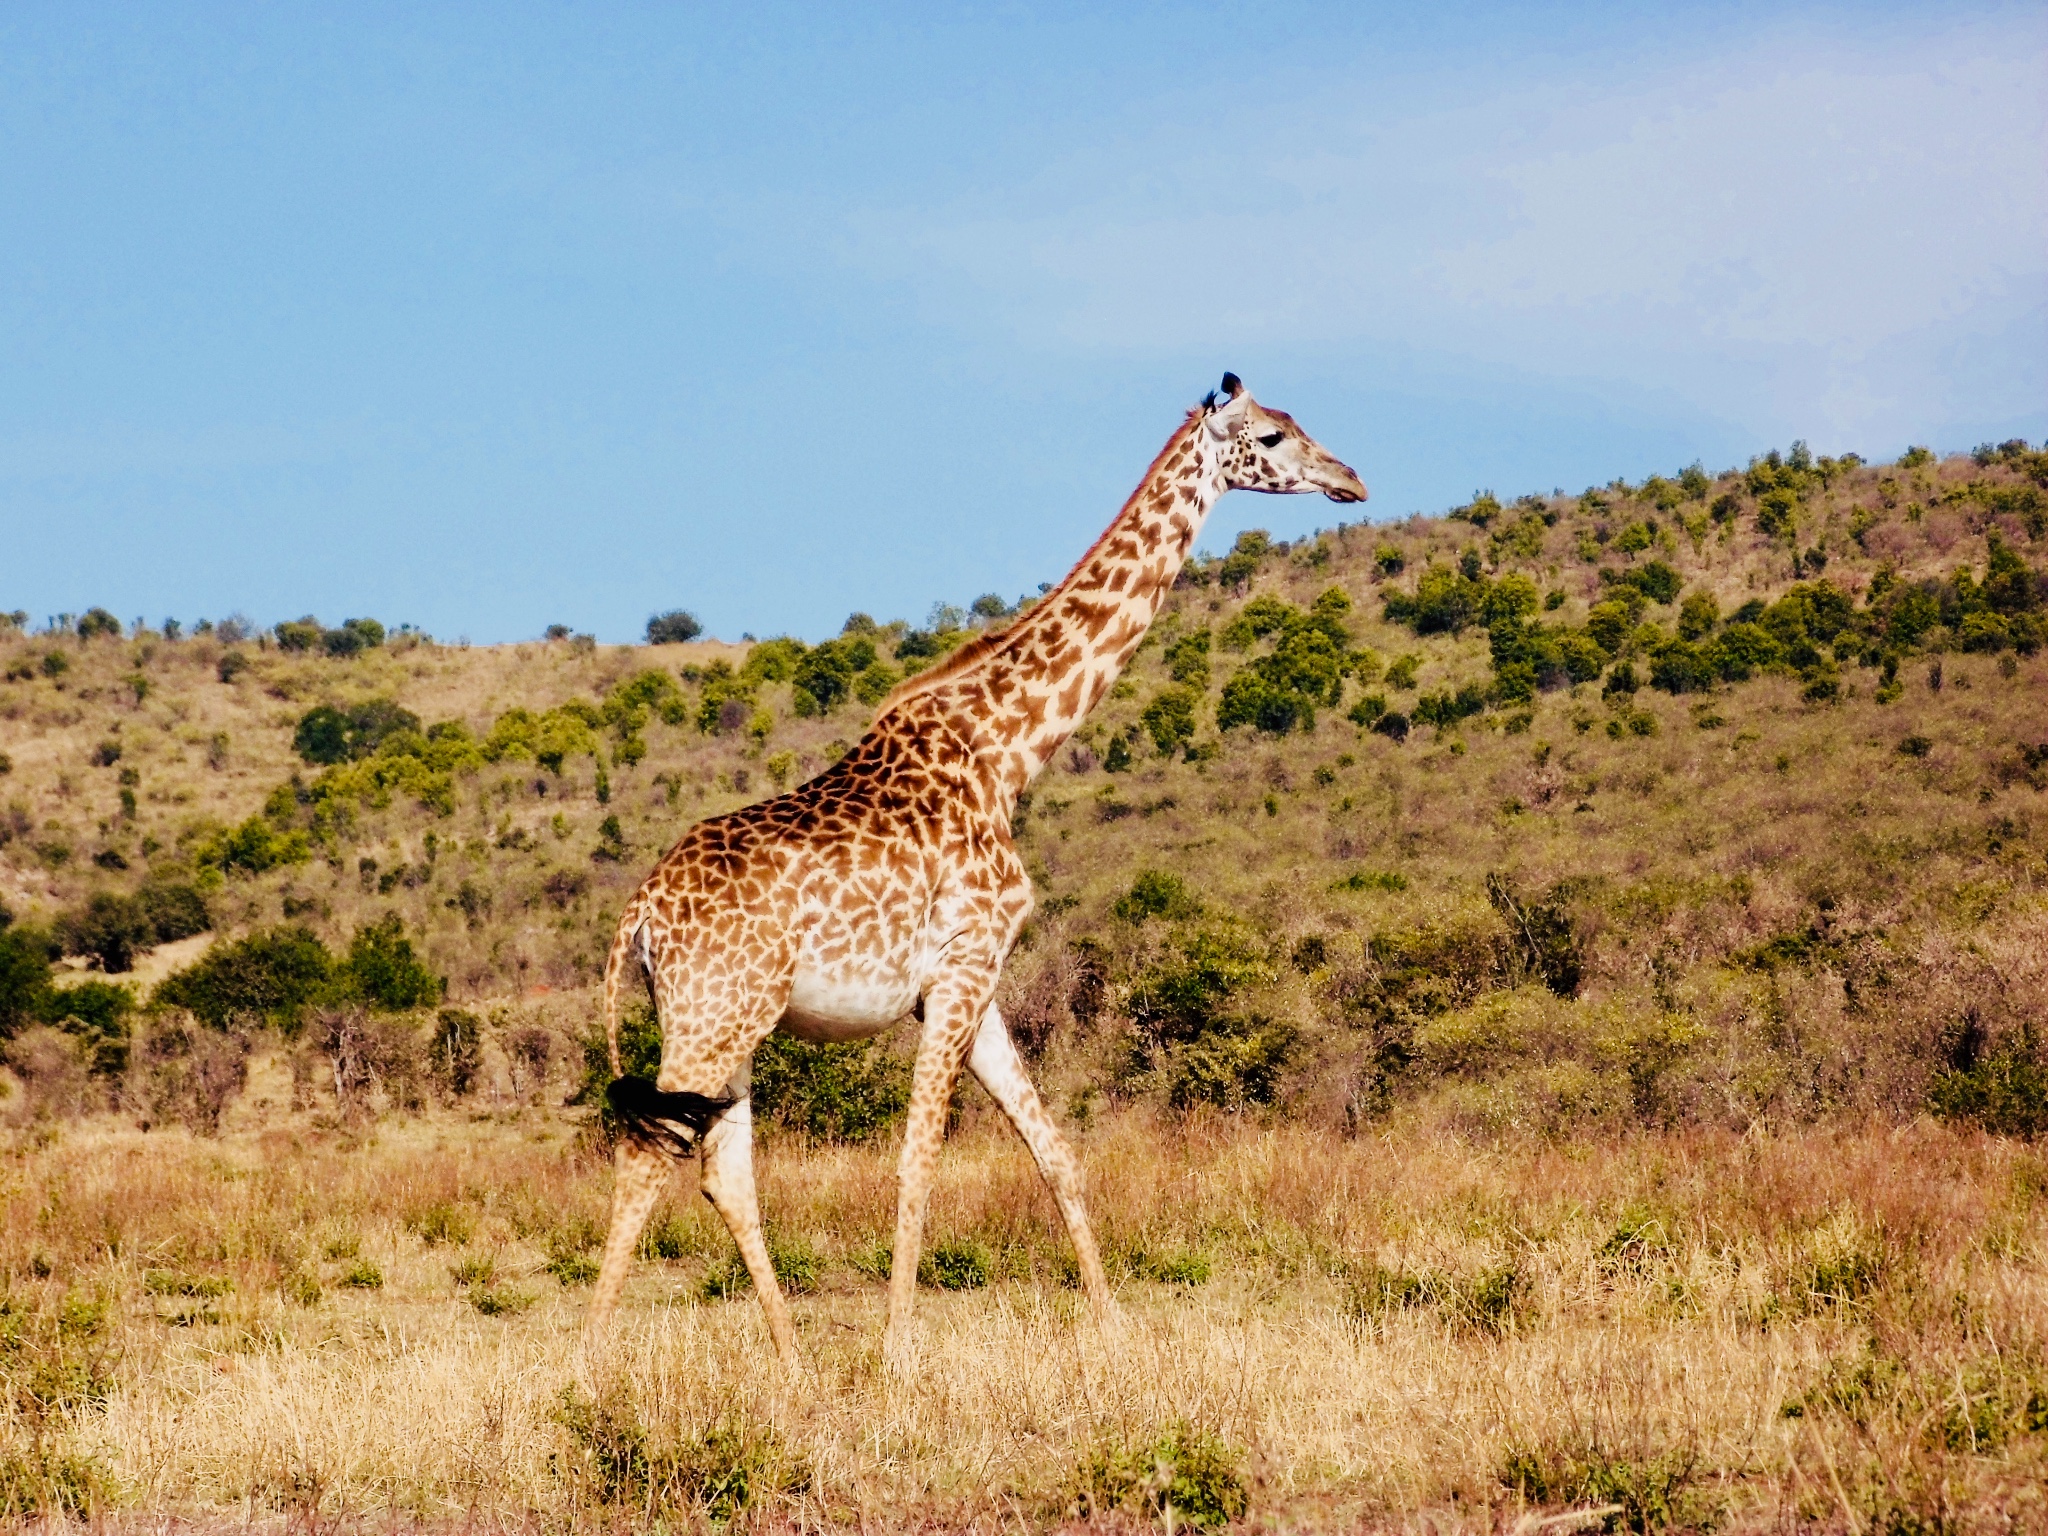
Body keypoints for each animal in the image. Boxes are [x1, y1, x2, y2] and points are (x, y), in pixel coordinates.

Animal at [585, 378, 1368, 1368]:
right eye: (1270, 436)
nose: (1351, 479)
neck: (1009, 750)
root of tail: (639, 917)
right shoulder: (962, 966)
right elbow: (918, 1158)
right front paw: (897, 1353)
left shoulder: (972, 979)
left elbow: (1054, 1149)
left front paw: (1115, 1330)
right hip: (714, 1015)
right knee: (648, 1153)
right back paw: (586, 1363)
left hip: (731, 1021)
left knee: (723, 1171)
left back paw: (794, 1367)